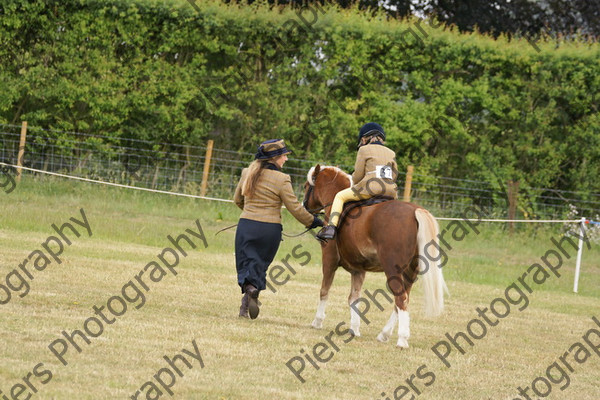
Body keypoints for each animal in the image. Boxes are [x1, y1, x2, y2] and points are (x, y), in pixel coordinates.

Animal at [304, 165, 446, 346]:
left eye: (306, 187)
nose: (304, 207)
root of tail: (415, 211)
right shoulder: (358, 270)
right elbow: (354, 298)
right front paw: (355, 329)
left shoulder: (329, 260)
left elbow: (324, 290)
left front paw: (317, 321)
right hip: (410, 271)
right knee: (403, 300)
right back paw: (384, 334)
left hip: (393, 270)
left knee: (400, 299)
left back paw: (402, 339)